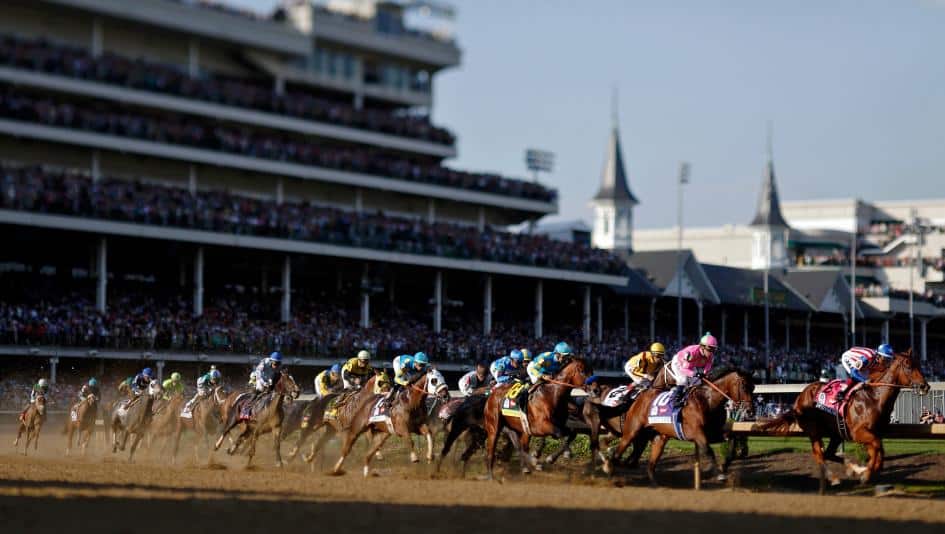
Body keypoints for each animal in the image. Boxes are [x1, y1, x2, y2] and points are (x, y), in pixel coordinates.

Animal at [604, 368, 752, 486]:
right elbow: (708, 451)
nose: (750, 411)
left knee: (650, 465)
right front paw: (720, 475)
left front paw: (726, 464)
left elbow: (732, 439)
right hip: (632, 432)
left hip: (658, 438)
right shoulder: (696, 433)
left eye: (753, 387)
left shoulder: (714, 433)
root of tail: (638, 398)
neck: (707, 400)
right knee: (617, 455)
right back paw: (610, 472)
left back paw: (656, 485)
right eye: (744, 386)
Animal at [760, 352, 928, 494]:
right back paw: (834, 478)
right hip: (814, 430)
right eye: (909, 366)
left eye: (919, 364)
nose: (925, 386)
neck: (874, 398)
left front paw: (869, 470)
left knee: (828, 453)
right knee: (819, 455)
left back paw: (853, 469)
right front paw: (867, 474)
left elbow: (879, 450)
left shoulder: (874, 432)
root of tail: (799, 398)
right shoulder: (858, 433)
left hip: (836, 432)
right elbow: (877, 447)